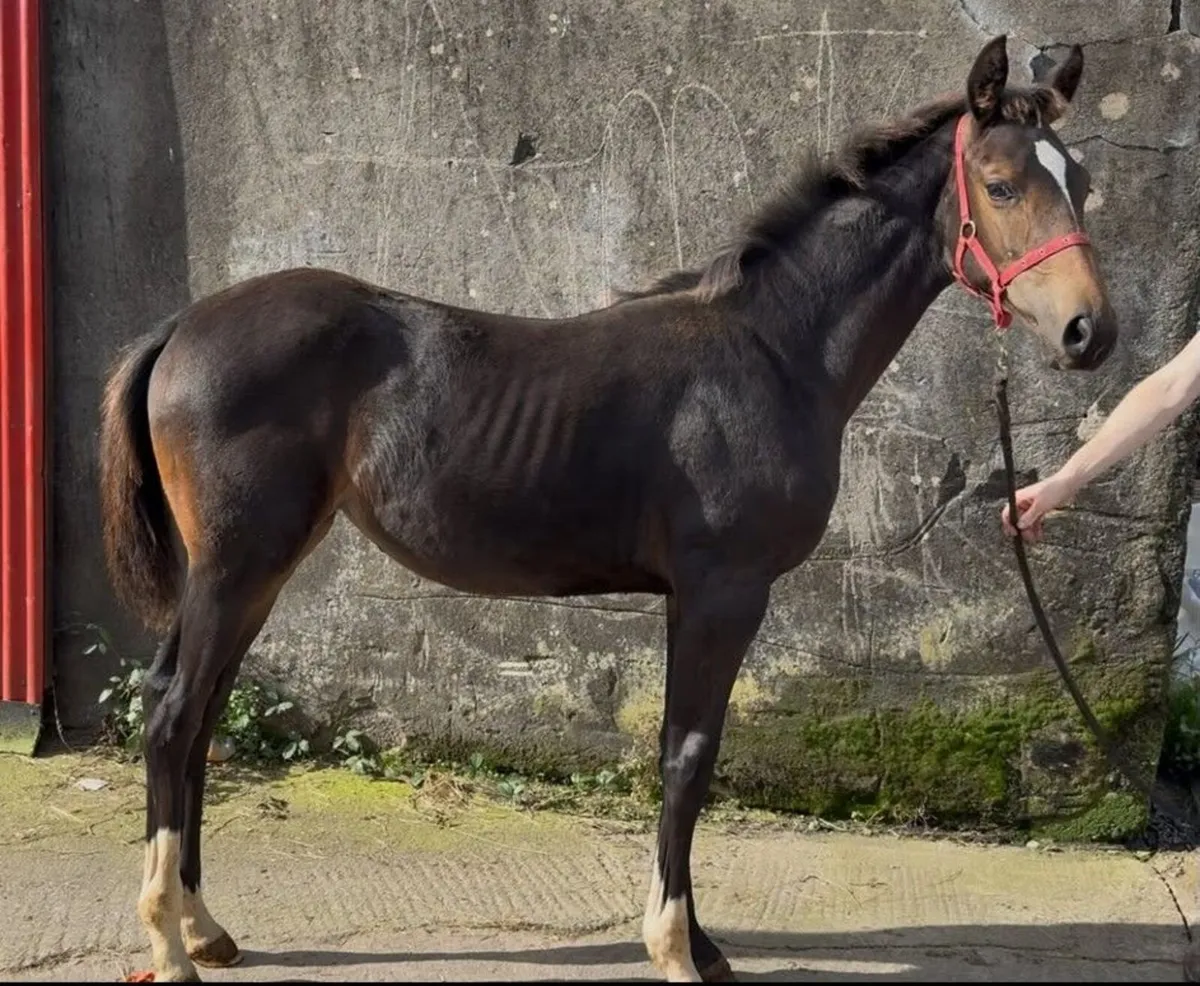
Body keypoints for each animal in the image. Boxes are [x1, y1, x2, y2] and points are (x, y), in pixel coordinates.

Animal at [99, 34, 1115, 983]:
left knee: (192, 710)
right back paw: (170, 944)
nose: (1089, 333)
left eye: (1083, 183)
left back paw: (205, 926)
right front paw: (673, 948)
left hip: (247, 572)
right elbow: (688, 755)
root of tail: (180, 327)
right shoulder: (721, 591)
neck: (772, 353)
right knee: (175, 714)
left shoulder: (696, 597)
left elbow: (688, 752)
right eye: (1000, 183)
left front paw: (702, 944)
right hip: (239, 565)